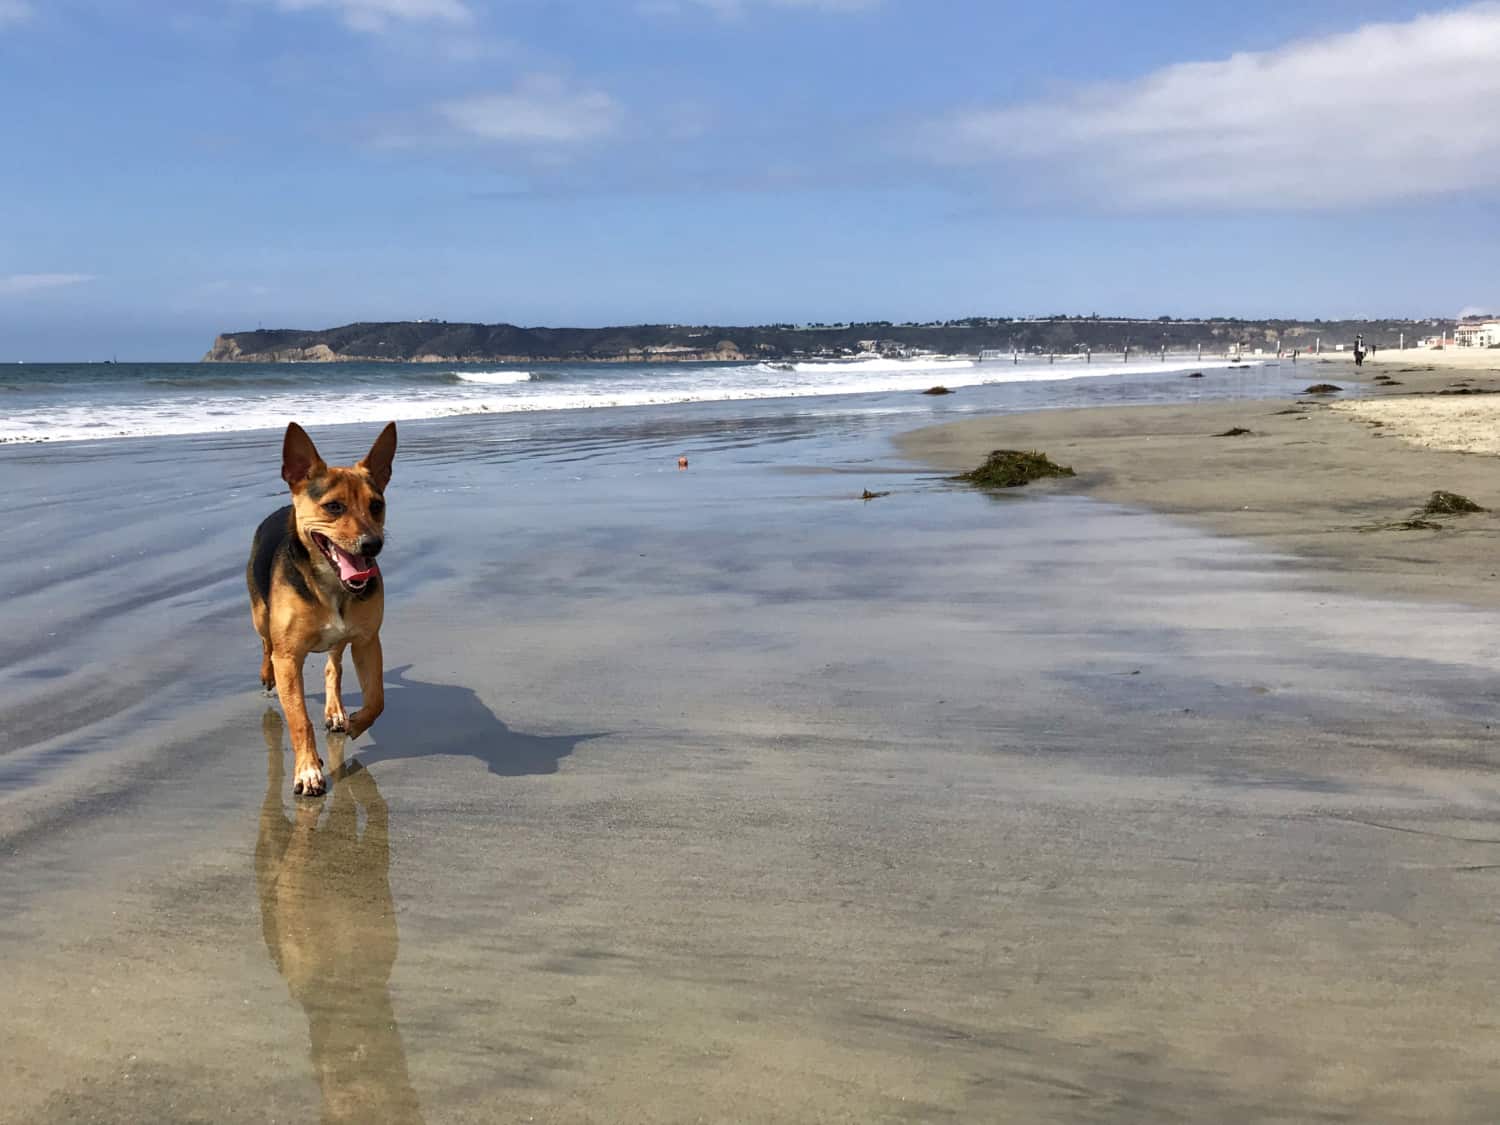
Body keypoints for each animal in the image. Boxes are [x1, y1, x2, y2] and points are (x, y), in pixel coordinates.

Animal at [249, 423, 396, 804]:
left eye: (377, 505)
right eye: (333, 507)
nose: (373, 545)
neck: (332, 584)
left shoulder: (367, 641)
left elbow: (377, 699)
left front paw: (355, 722)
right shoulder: (289, 658)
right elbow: (299, 719)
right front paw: (308, 771)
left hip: (340, 640)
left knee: (334, 666)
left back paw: (336, 710)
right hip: (259, 614)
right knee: (265, 644)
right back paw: (266, 675)